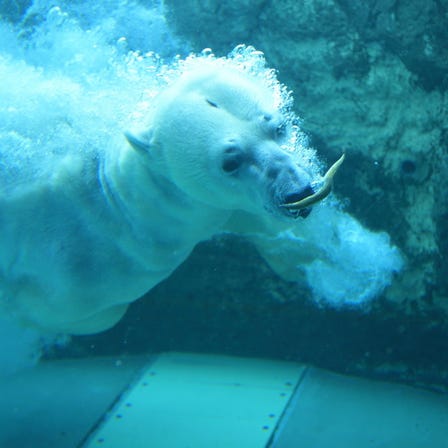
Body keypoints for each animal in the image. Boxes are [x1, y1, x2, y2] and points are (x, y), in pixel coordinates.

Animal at [0, 57, 402, 334]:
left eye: (279, 126)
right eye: (230, 161)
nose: (298, 192)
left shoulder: (222, 209)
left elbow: (285, 243)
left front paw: (360, 262)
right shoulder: (74, 284)